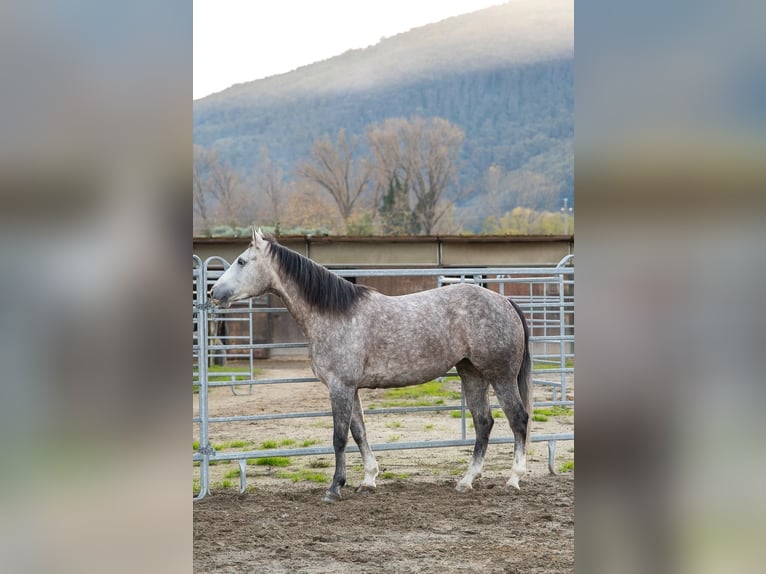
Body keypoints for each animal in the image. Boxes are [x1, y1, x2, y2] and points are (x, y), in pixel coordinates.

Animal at [209, 228, 531, 503]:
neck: (333, 314)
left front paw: (334, 489)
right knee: (483, 422)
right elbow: (359, 432)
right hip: (471, 373)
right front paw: (368, 479)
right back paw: (466, 481)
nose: (213, 293)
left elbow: (339, 437)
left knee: (518, 419)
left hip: (501, 376)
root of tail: (504, 301)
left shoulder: (340, 386)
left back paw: (514, 479)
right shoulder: (351, 388)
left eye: (241, 261)